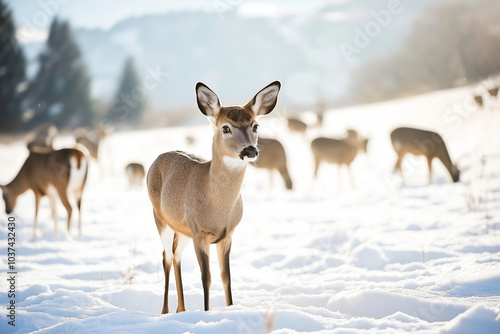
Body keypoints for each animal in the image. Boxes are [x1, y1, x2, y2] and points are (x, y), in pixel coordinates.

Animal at [148, 79, 282, 312]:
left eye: (255, 126)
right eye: (226, 128)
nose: (250, 150)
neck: (218, 206)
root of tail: (156, 159)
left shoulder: (227, 234)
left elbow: (226, 276)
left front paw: (230, 307)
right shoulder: (200, 232)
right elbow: (206, 277)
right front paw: (207, 311)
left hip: (183, 229)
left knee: (176, 255)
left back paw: (181, 309)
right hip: (160, 218)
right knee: (166, 256)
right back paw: (165, 311)